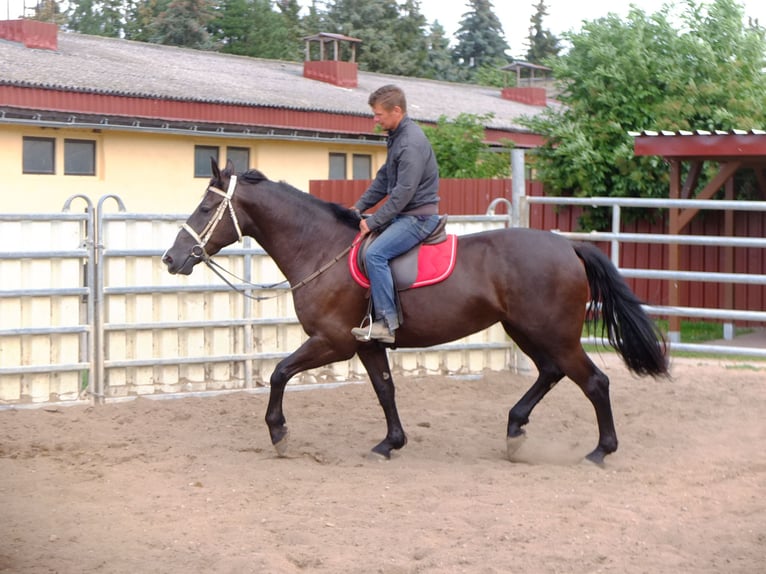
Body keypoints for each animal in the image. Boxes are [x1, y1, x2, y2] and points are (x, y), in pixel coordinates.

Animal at [165, 162, 668, 468]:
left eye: (206, 207)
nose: (172, 258)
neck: (320, 248)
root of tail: (568, 246)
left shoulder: (333, 342)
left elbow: (279, 374)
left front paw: (279, 433)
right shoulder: (367, 344)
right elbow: (385, 390)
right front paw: (391, 443)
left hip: (555, 334)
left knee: (594, 382)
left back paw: (600, 451)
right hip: (526, 330)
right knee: (550, 373)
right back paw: (515, 429)